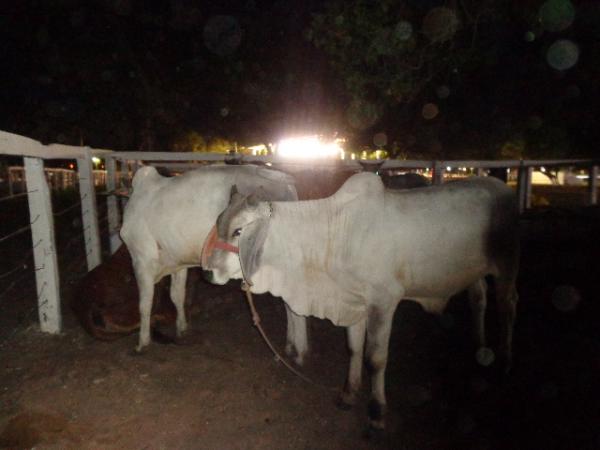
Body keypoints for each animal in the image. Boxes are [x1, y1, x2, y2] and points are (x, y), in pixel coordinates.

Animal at [121, 163, 310, 364]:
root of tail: (285, 182)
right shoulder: (178, 262)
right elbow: (177, 295)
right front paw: (182, 328)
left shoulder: (141, 260)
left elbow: (144, 304)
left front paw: (142, 343)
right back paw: (290, 346)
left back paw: (299, 352)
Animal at [202, 171, 520, 428]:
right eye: (218, 222)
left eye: (239, 231)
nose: (207, 274)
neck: (335, 236)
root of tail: (502, 188)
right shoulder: (353, 303)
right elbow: (354, 349)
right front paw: (348, 392)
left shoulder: (383, 302)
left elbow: (375, 358)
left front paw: (377, 410)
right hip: (472, 272)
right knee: (478, 298)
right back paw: (480, 348)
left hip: (506, 266)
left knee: (507, 305)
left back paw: (504, 361)